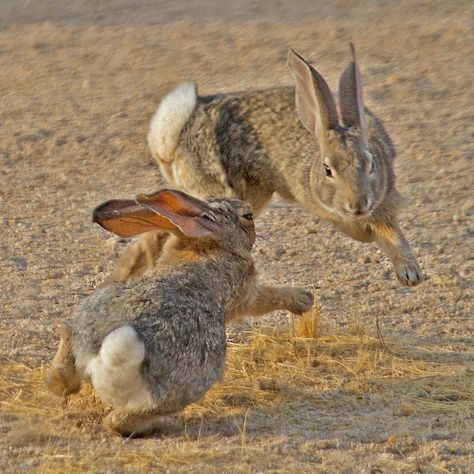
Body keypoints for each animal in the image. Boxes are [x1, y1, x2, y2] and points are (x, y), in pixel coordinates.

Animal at [45, 189, 314, 436]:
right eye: (247, 215)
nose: (250, 213)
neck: (206, 245)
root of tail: (104, 357)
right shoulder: (245, 293)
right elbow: (267, 296)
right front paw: (303, 299)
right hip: (186, 386)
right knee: (119, 422)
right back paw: (163, 423)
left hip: (78, 327)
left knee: (60, 380)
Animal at [147, 46, 422, 286]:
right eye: (328, 170)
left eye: (370, 164)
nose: (357, 204)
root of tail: (171, 145)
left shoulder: (384, 203)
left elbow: (393, 235)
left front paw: (411, 275)